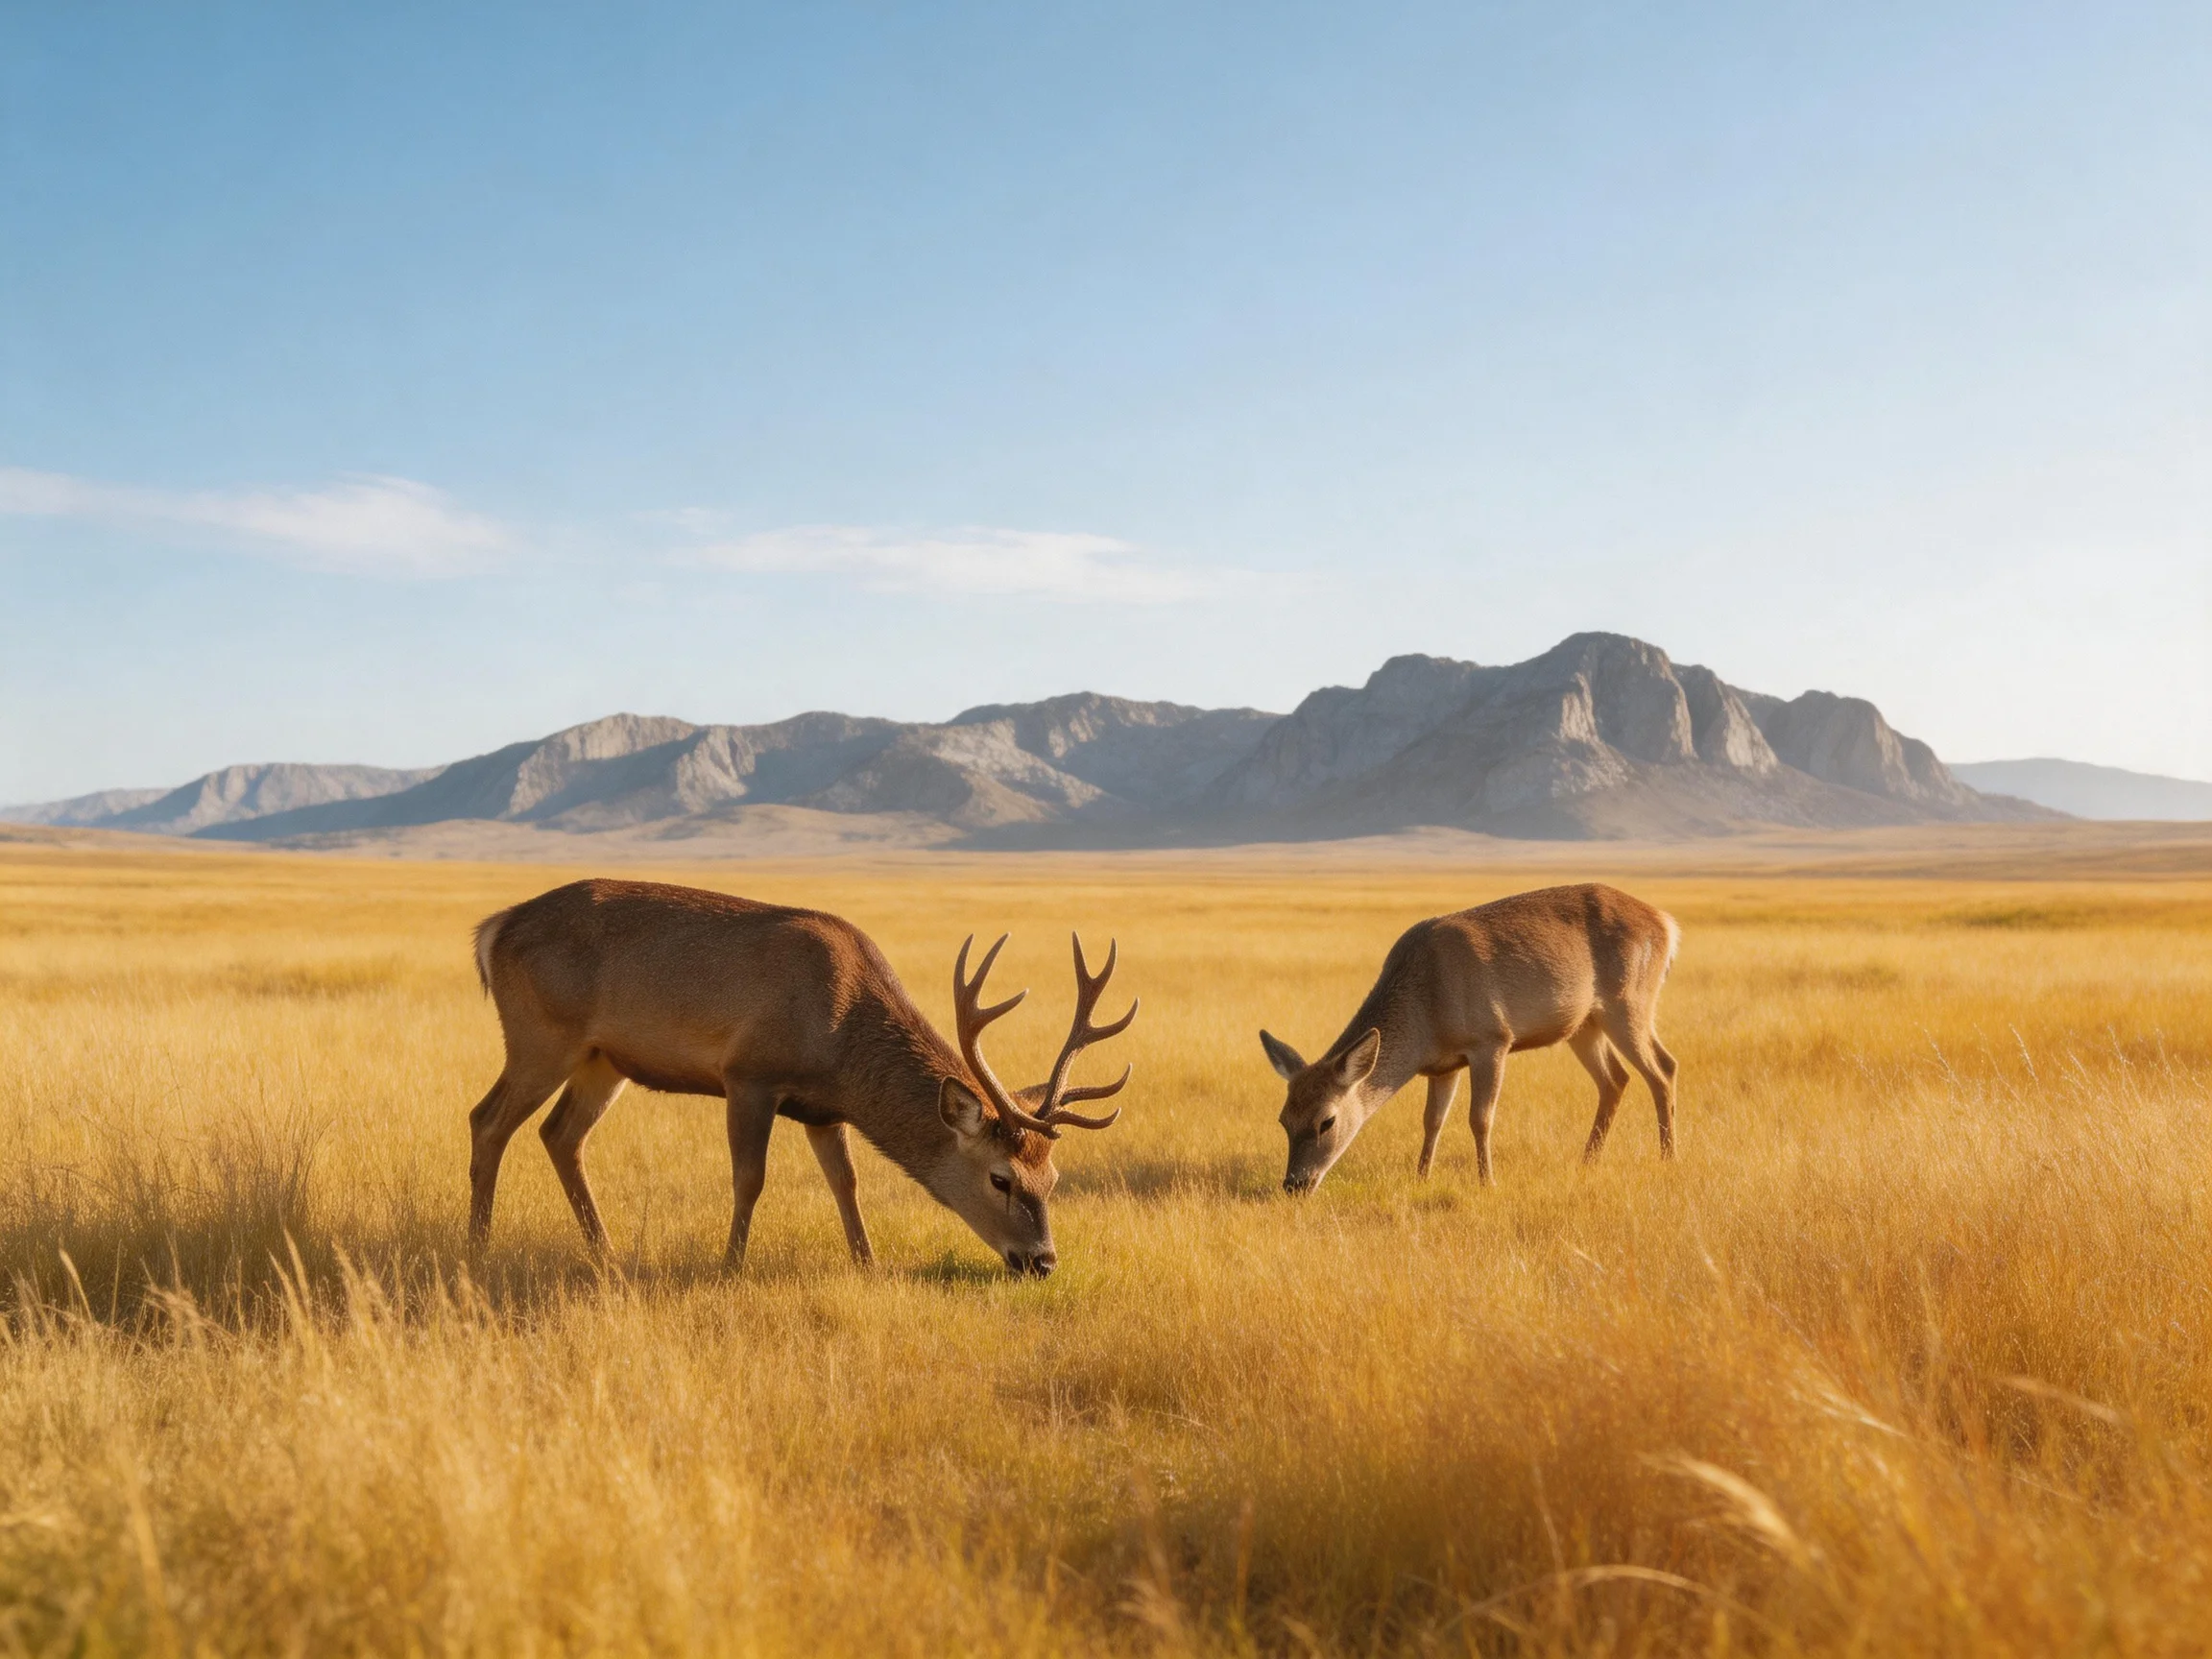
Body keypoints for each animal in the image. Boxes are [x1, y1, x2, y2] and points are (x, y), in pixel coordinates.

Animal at [465, 878, 1135, 1277]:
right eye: (1001, 1178)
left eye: (1054, 1178)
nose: (1043, 1261)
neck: (839, 1043)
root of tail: (490, 930)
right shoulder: (748, 1073)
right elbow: (749, 1178)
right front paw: (730, 1267)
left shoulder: (823, 1110)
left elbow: (846, 1183)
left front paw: (867, 1263)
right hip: (540, 1036)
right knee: (487, 1119)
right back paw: (478, 1247)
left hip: (603, 1059)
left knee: (560, 1134)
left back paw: (604, 1253)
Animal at [1260, 883, 1679, 1195]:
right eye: (1283, 1119)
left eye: (1326, 1121)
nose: (1294, 1184)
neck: (1426, 1014)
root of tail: (1668, 924)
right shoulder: (1444, 1065)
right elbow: (1432, 1120)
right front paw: (1422, 1177)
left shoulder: (1491, 1039)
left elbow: (1480, 1117)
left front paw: (1486, 1181)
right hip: (1584, 1023)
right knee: (1616, 1078)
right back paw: (1588, 1160)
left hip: (1629, 1000)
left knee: (1663, 1068)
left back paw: (1668, 1158)